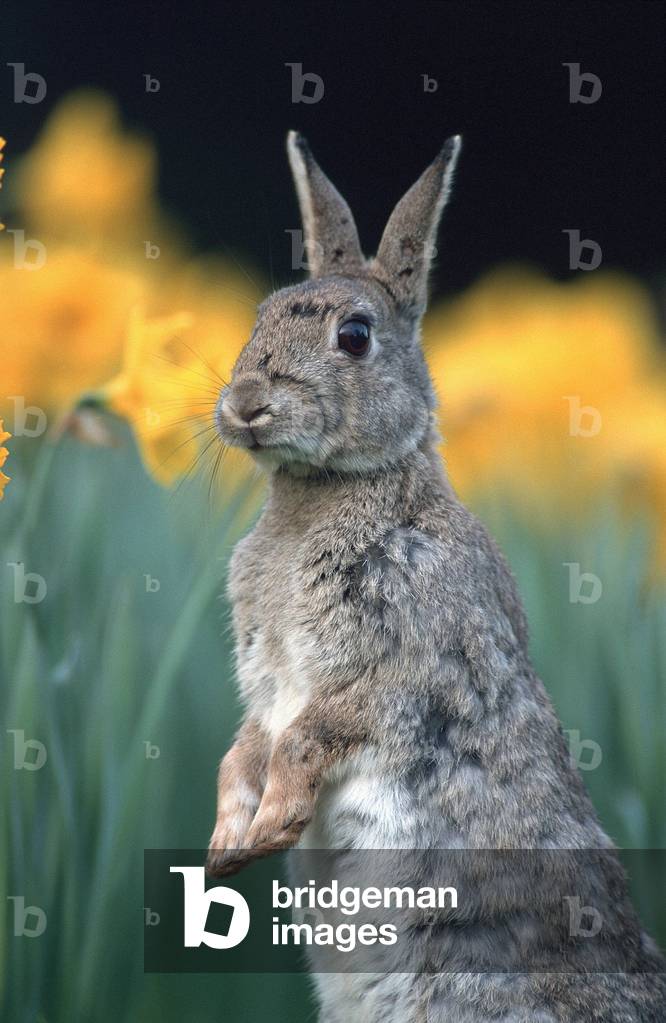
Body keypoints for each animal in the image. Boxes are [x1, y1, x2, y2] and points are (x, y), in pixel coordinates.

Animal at [206, 131, 666, 1021]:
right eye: (260, 317)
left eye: (354, 336)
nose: (244, 403)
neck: (331, 487)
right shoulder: (264, 686)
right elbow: (242, 750)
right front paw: (225, 849)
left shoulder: (406, 672)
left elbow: (312, 731)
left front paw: (275, 823)